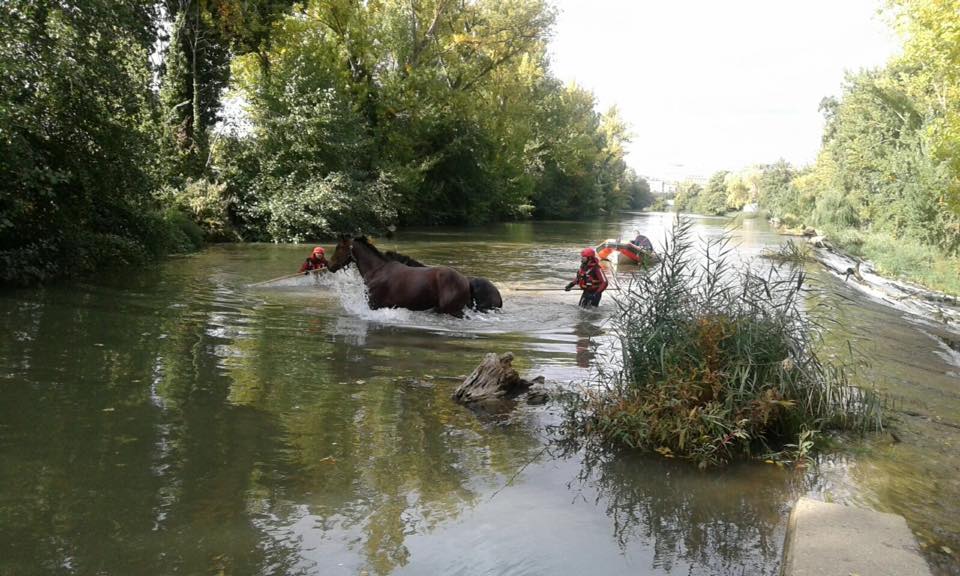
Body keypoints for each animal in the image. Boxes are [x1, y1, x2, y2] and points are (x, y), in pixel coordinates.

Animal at [327, 237, 473, 317]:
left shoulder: (373, 305)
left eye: (339, 247)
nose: (329, 265)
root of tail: (465, 280)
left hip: (451, 310)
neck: (376, 270)